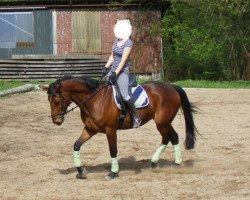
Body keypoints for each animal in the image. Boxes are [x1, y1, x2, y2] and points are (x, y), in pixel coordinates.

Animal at [40, 76, 198, 180]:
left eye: (56, 100)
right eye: (48, 100)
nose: (56, 121)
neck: (94, 99)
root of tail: (171, 87)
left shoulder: (110, 130)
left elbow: (113, 150)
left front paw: (113, 172)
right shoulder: (90, 129)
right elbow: (76, 145)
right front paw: (81, 170)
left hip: (162, 122)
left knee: (172, 137)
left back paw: (176, 163)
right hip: (162, 123)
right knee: (168, 137)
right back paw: (155, 163)